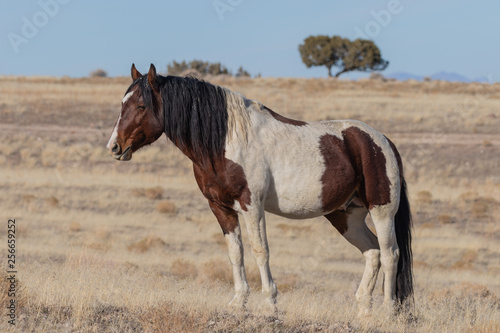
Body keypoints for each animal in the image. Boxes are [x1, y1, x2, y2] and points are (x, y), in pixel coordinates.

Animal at [107, 63, 412, 312]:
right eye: (122, 104)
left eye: (141, 106)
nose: (114, 147)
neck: (224, 141)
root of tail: (382, 140)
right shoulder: (220, 207)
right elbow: (235, 252)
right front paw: (239, 301)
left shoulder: (251, 205)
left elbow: (259, 250)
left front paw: (270, 302)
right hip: (346, 216)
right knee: (372, 252)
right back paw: (363, 308)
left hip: (381, 211)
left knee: (390, 254)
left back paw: (387, 310)